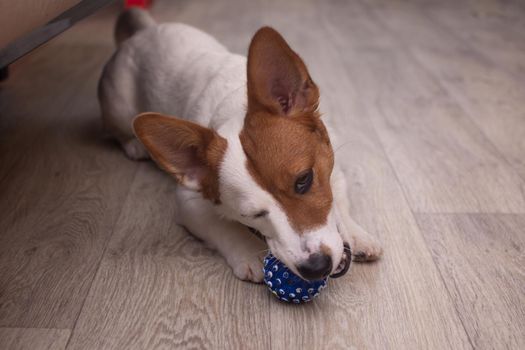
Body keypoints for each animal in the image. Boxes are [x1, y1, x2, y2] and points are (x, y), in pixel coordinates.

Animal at [97, 8, 380, 284]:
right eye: (252, 214)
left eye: (304, 180)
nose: (315, 267)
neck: (234, 105)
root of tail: (143, 33)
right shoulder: (189, 201)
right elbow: (223, 227)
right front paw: (248, 251)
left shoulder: (334, 169)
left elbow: (338, 201)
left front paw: (356, 233)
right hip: (118, 105)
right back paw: (134, 144)